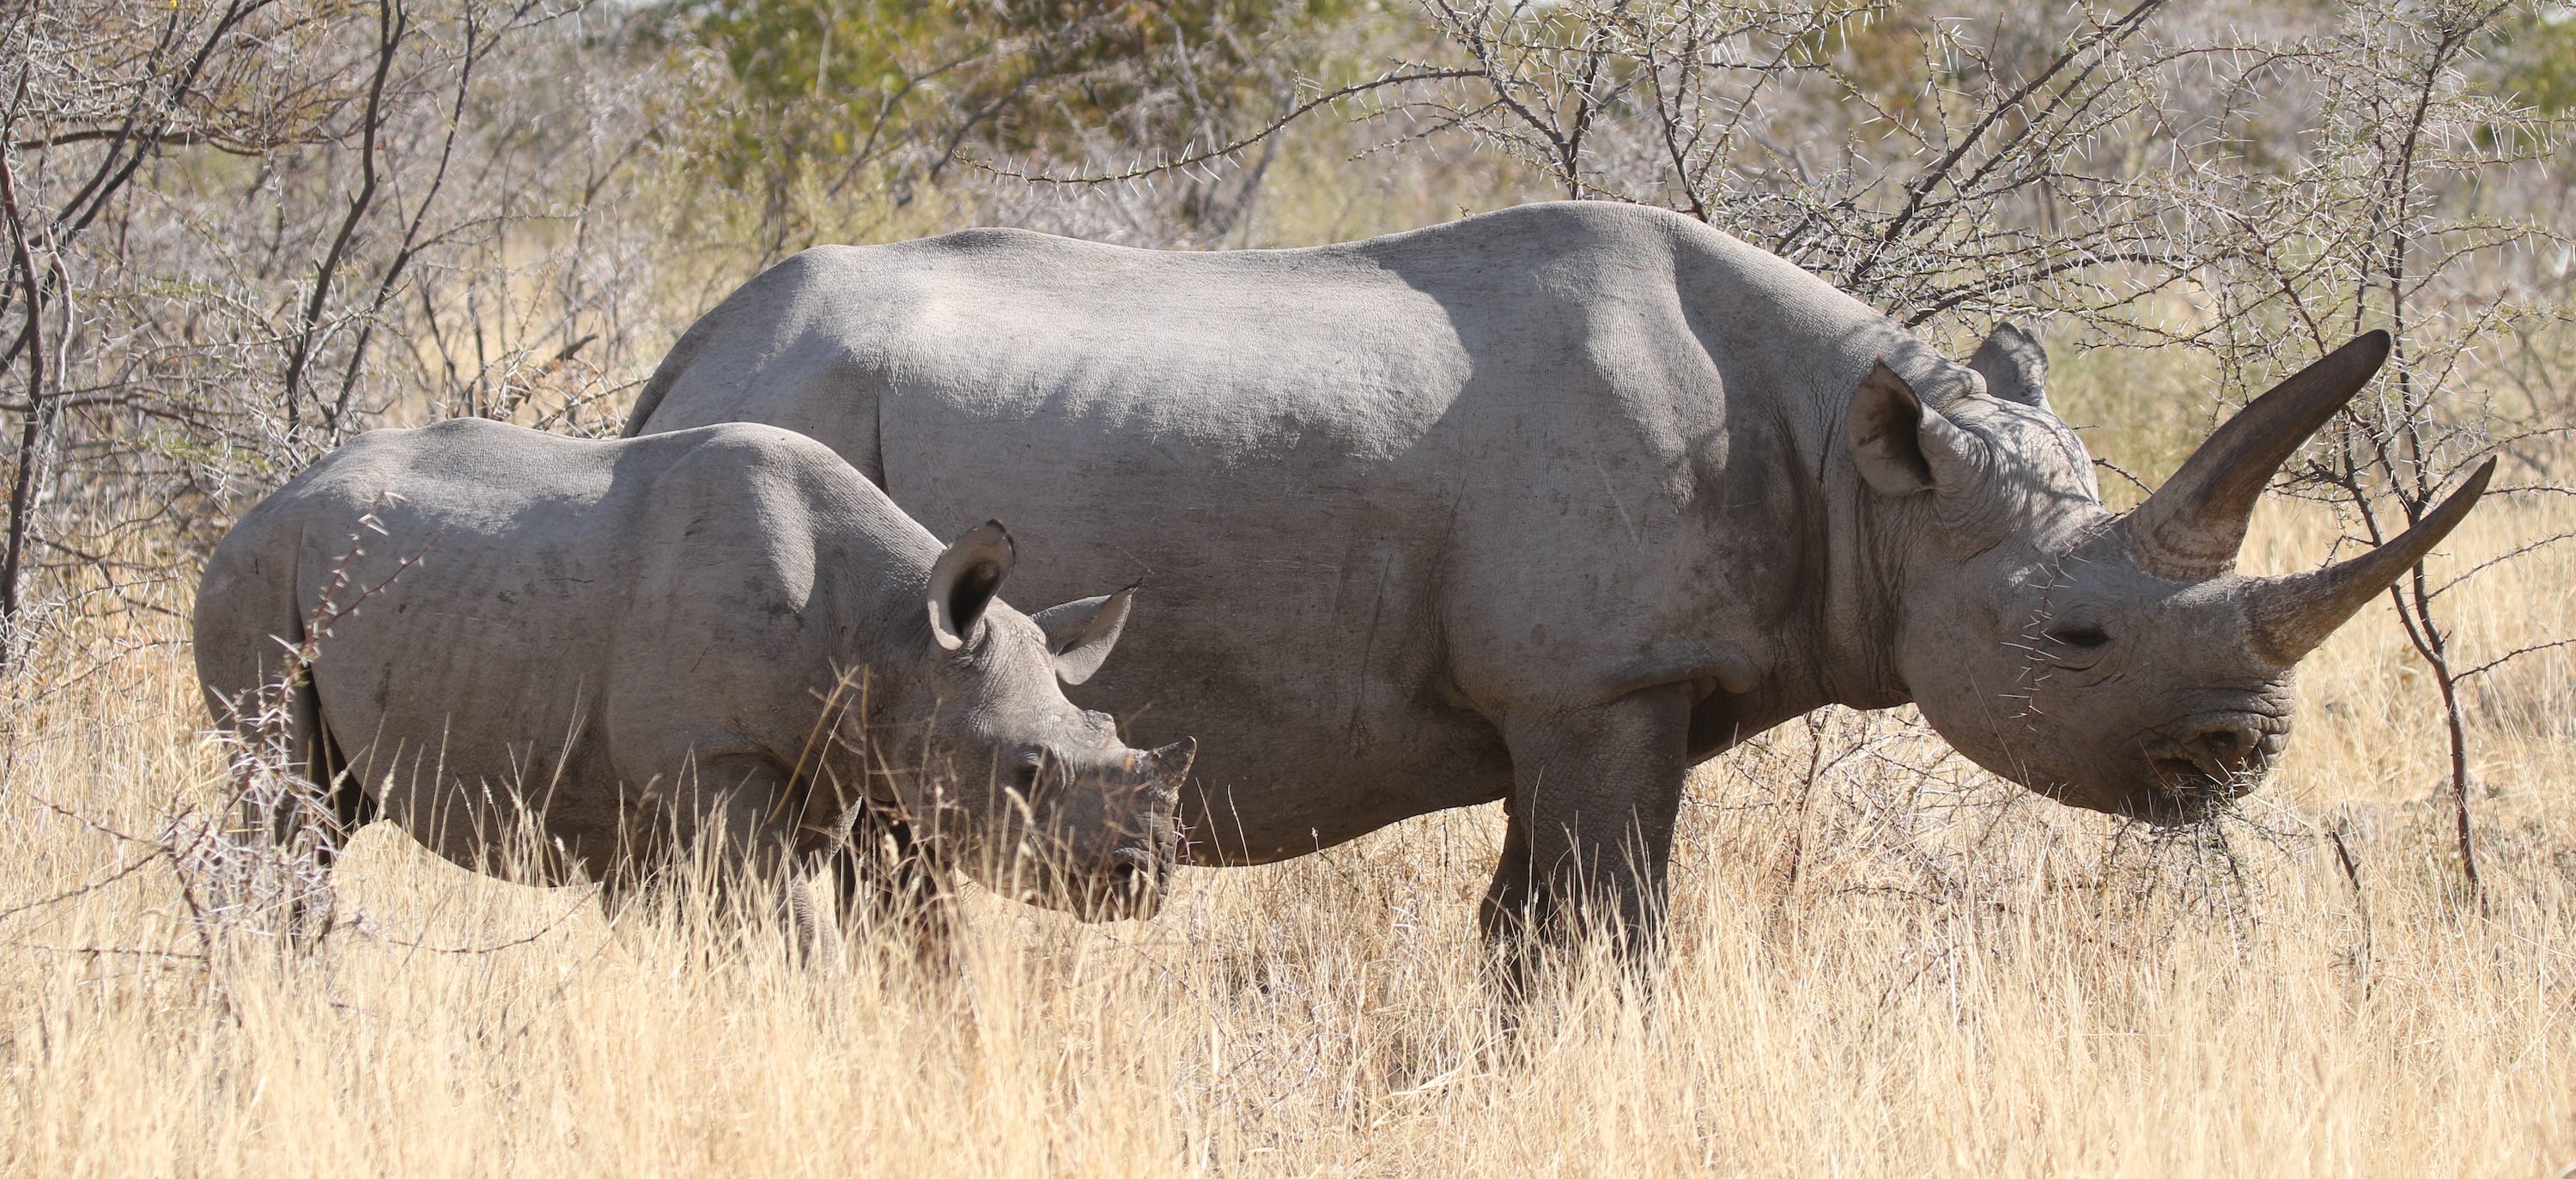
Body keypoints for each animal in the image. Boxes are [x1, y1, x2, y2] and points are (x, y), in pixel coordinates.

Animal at [194, 418, 1194, 954]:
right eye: (1028, 771)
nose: (1146, 876)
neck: (898, 634)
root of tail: (267, 496)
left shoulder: (837, 762)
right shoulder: (713, 761)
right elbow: (790, 931)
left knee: (327, 811)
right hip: (257, 572)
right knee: (282, 794)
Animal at [624, 201, 2491, 965]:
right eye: (2076, 633)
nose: (2242, 753)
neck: (1869, 474)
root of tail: (687, 352)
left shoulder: (1591, 693)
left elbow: (1537, 920)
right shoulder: (1601, 680)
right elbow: (1608, 924)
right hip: (812, 418)